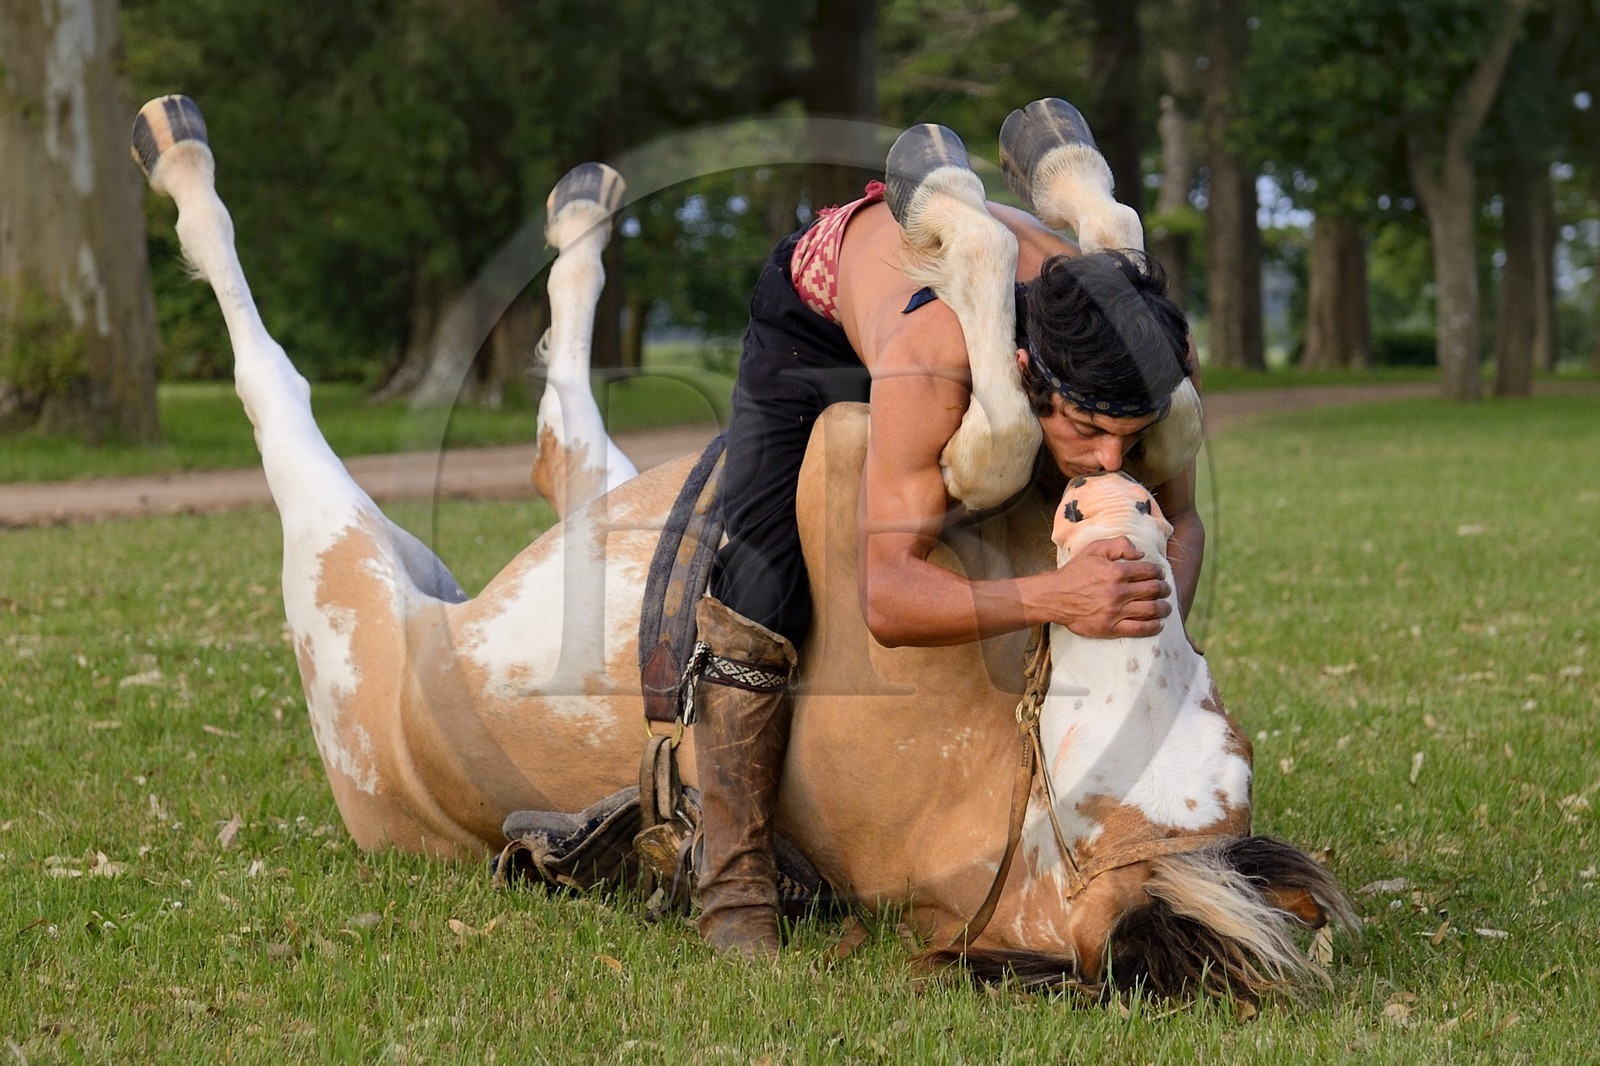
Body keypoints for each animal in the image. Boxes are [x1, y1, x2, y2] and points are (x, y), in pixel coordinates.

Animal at [131, 94, 1352, 998]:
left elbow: (1004, 437)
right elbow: (1098, 411)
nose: (1113, 509)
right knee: (556, 431)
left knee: (289, 391)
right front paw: (994, 201)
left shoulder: (842, 457)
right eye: (1185, 717)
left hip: (347, 587)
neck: (999, 780)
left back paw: (186, 157)